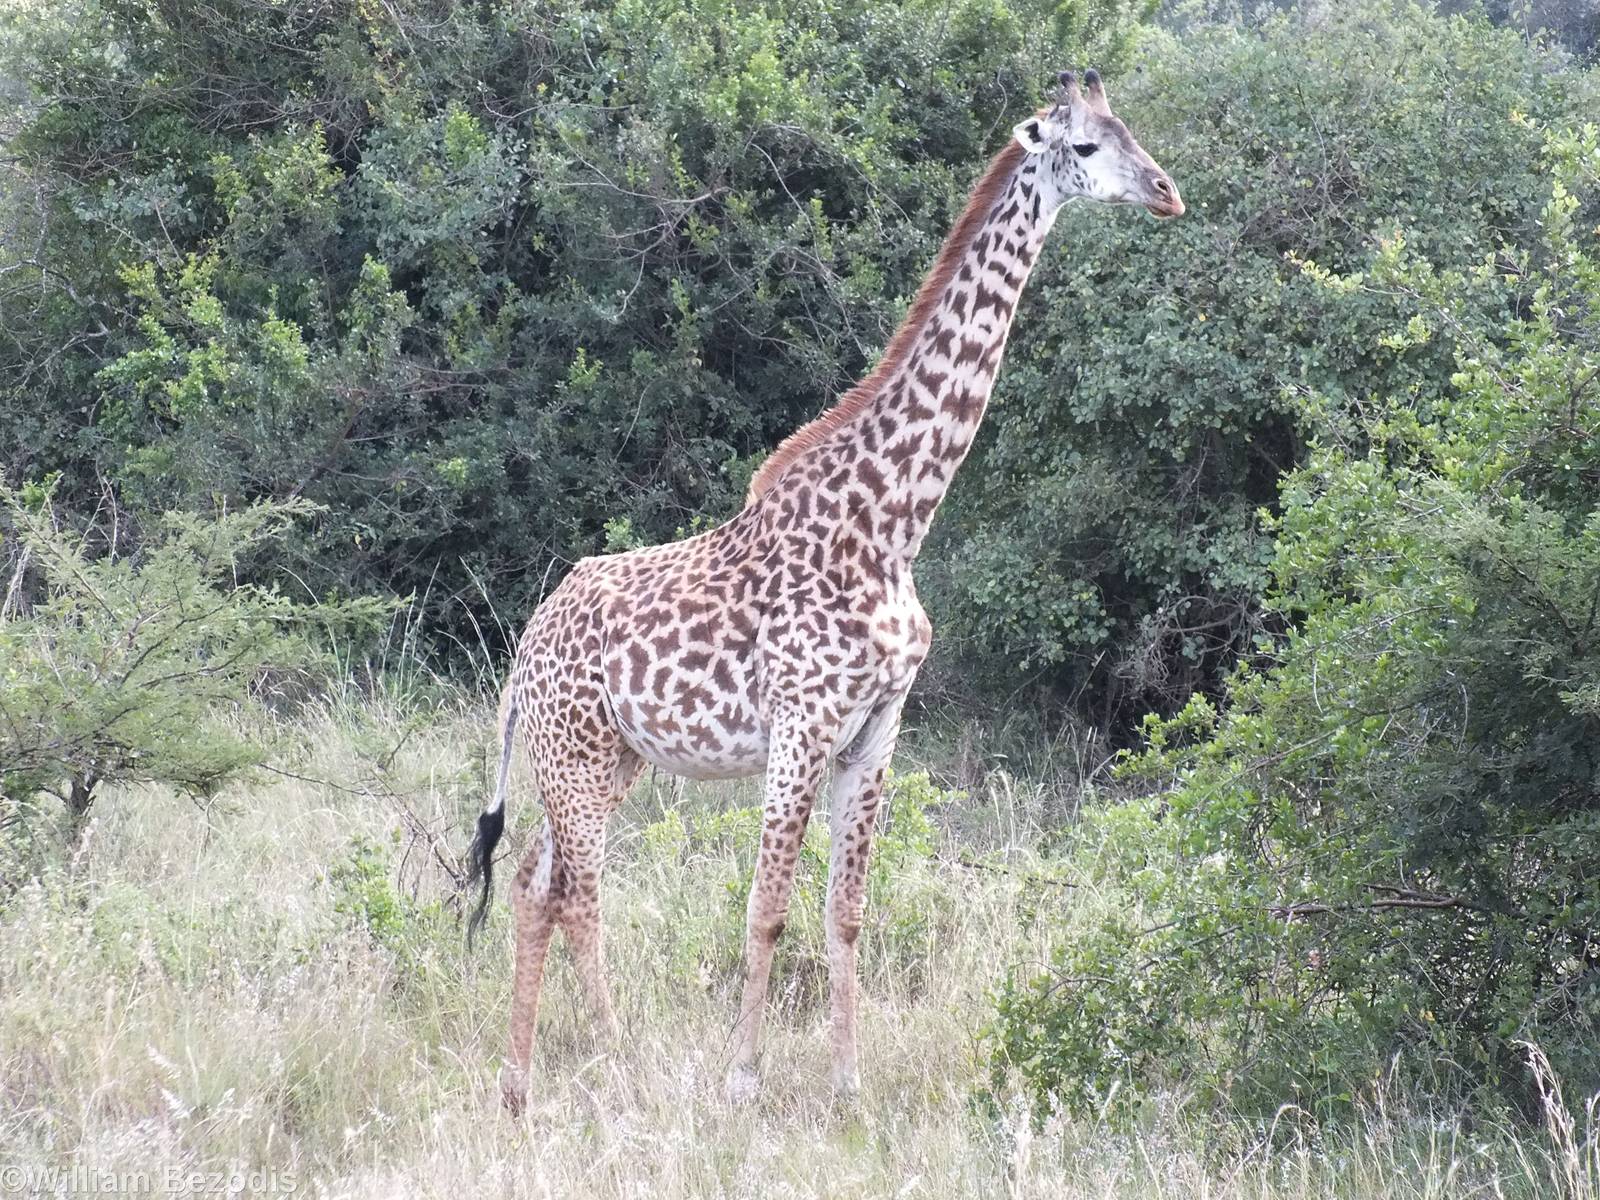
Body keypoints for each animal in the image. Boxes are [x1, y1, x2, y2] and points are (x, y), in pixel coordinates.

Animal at [466, 68, 1183, 1113]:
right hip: (578, 756)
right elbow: (766, 910)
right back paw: (620, 1061)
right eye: (1086, 147)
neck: (893, 524)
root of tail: (525, 646)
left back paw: (519, 1083)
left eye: (1127, 128)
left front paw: (847, 1087)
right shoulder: (801, 725)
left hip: (606, 760)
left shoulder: (876, 729)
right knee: (582, 897)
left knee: (533, 882)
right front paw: (741, 1082)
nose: (1168, 193)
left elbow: (847, 912)